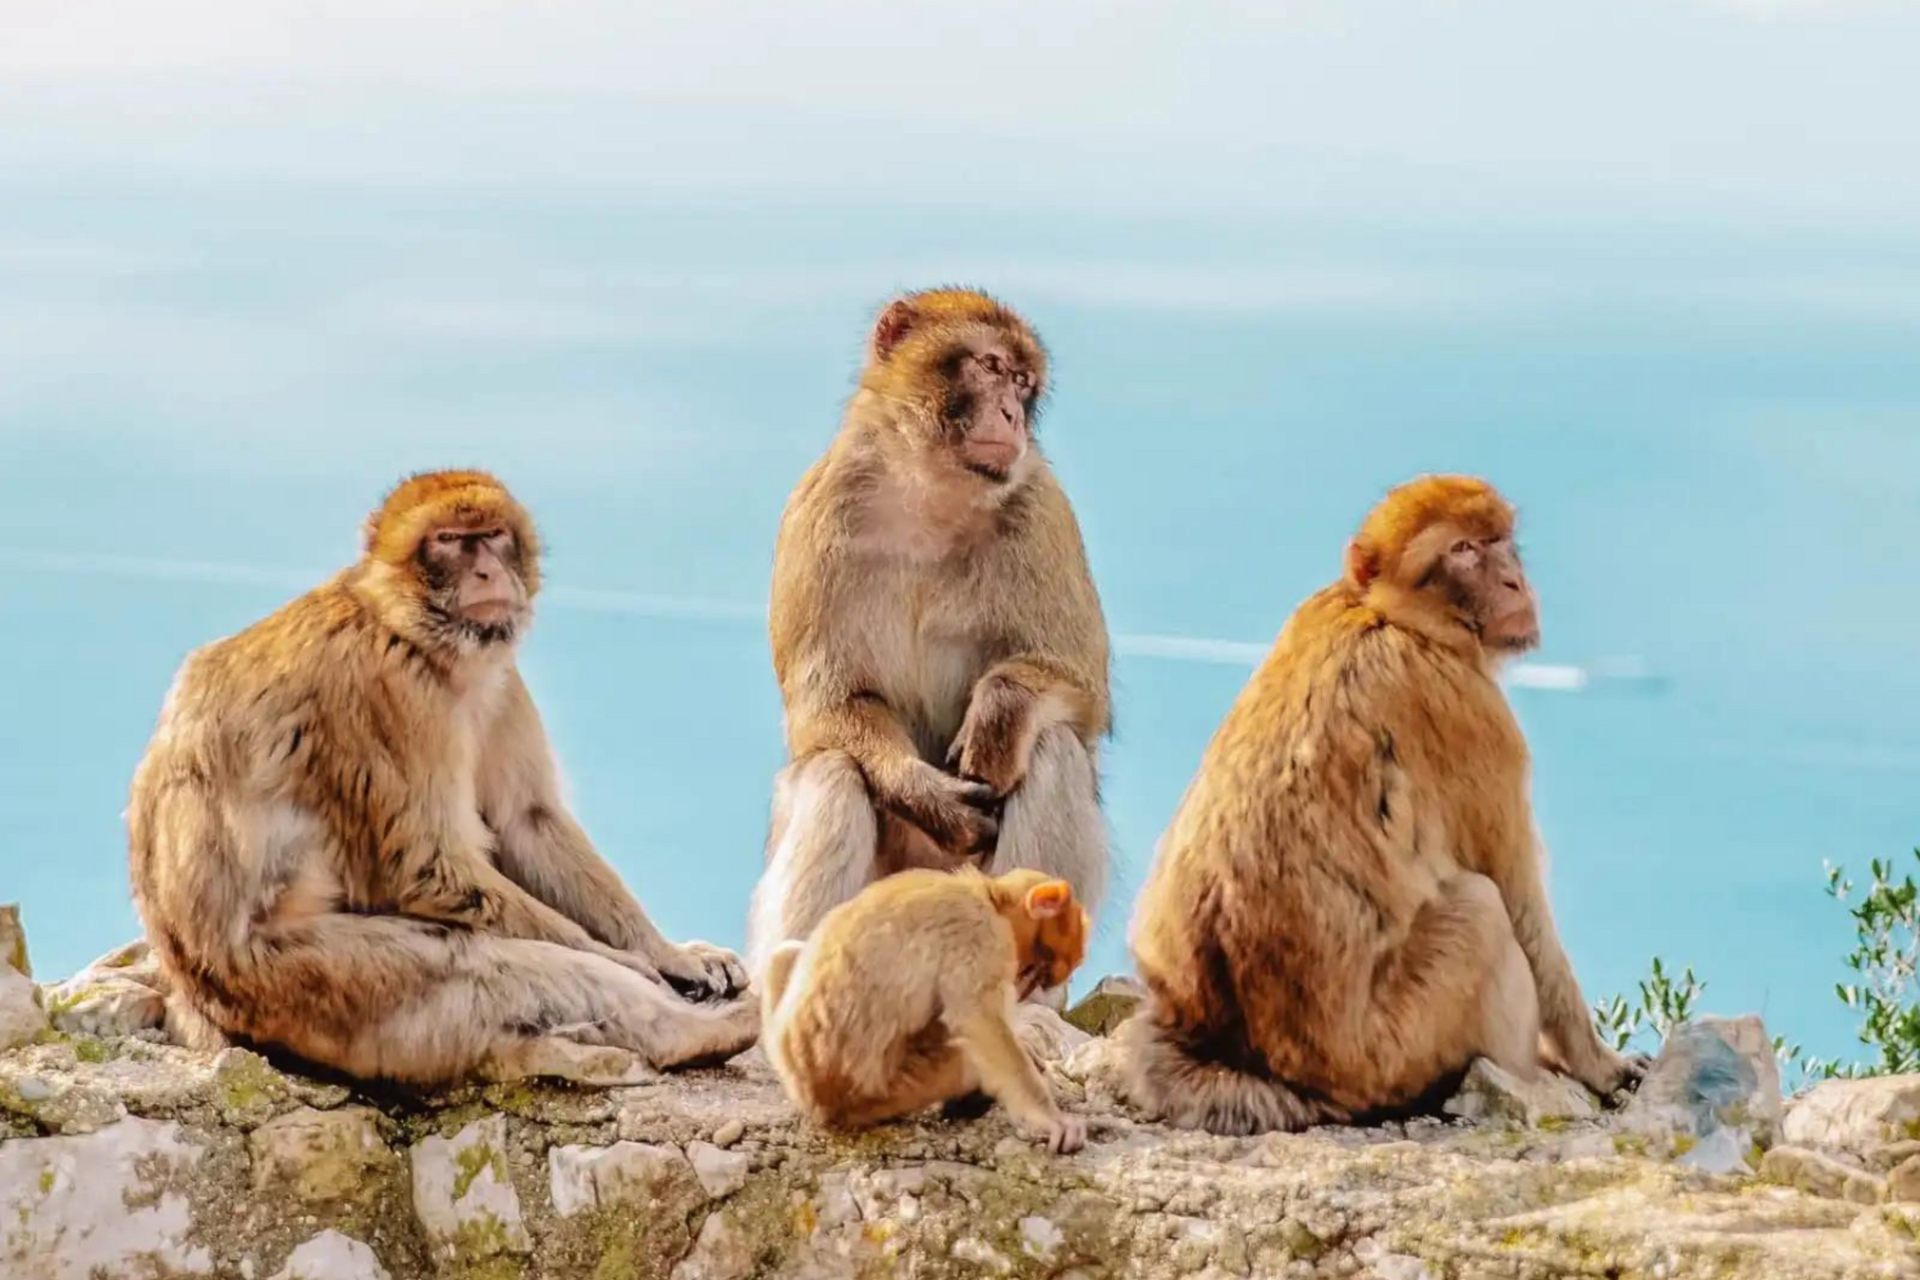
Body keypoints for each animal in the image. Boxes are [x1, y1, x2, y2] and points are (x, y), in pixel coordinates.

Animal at [127, 469, 758, 1087]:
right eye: (449, 541)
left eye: (494, 535)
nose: (486, 571)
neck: (410, 631)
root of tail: (198, 999)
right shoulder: (388, 687)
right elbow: (429, 863)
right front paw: (632, 965)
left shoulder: (500, 678)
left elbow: (527, 821)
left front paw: (669, 955)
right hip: (307, 986)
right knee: (482, 962)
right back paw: (692, 1033)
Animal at [746, 288, 1111, 991]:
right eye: (991, 367)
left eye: (1023, 384)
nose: (1011, 414)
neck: (931, 496)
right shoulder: (813, 513)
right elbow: (829, 708)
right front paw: (926, 794)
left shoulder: (1045, 510)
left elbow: (1080, 687)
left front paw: (999, 713)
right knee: (834, 769)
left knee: (1052, 746)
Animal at [761, 866, 1091, 1153]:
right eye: (1038, 971)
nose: (1022, 987)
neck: (988, 896)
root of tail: (813, 1097)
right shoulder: (977, 929)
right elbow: (978, 1018)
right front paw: (1048, 1118)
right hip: (896, 1088)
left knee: (783, 954)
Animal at [1117, 474, 1643, 1135]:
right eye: (1463, 549)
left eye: (1500, 541)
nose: (1513, 582)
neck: (1390, 616)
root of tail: (1264, 1066)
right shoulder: (1476, 718)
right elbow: (1519, 899)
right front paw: (1597, 1063)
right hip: (1400, 1044)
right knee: (1482, 910)